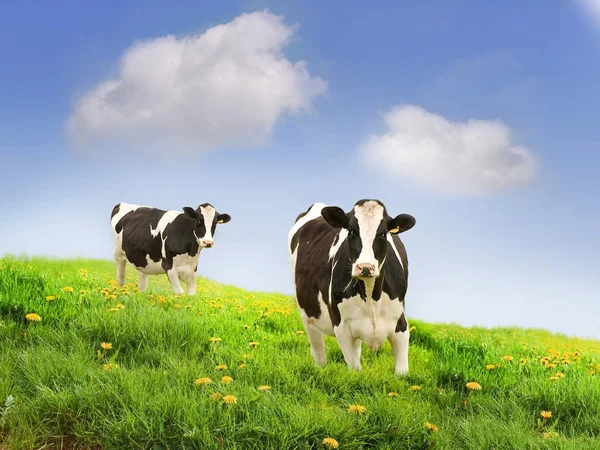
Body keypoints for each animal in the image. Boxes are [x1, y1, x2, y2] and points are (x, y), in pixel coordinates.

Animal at [288, 200, 414, 376]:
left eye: (383, 234)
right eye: (352, 231)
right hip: (307, 314)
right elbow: (355, 370)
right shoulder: (341, 327)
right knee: (318, 351)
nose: (365, 267)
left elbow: (402, 373)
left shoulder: (401, 325)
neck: (371, 298)